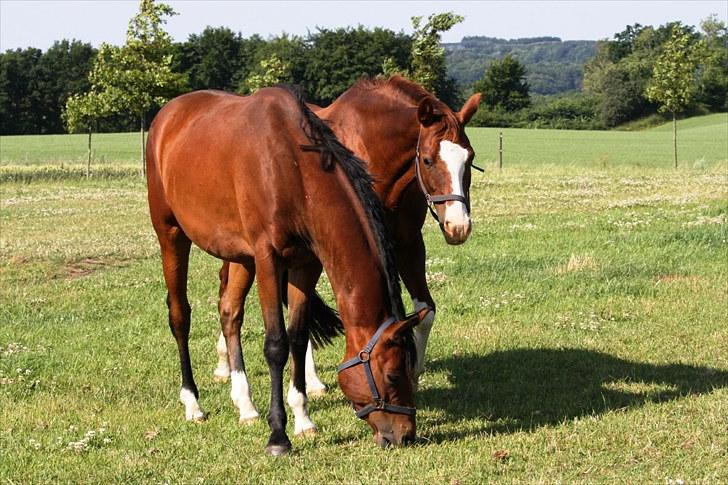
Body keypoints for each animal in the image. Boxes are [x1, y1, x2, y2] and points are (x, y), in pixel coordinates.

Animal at [145, 85, 424, 452]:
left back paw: (246, 406)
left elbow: (298, 338)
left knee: (230, 313)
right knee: (180, 317)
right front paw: (278, 435)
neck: (291, 168)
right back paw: (193, 404)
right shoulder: (268, 259)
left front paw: (303, 419)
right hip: (171, 235)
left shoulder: (304, 264)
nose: (406, 434)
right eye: (392, 374)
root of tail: (168, 115)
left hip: (240, 256)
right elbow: (276, 345)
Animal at [213, 76, 480, 412]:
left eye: (470, 158)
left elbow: (424, 311)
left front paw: (413, 374)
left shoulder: (407, 244)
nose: (458, 226)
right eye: (428, 160)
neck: (373, 151)